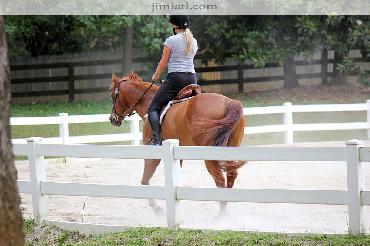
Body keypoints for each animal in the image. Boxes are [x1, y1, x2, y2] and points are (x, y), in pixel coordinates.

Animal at [107, 72, 246, 214]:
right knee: (231, 174)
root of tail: (229, 102)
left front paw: (157, 209)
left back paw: (221, 215)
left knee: (219, 179)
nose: (112, 119)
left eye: (113, 95)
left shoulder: (153, 154)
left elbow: (145, 180)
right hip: (230, 148)